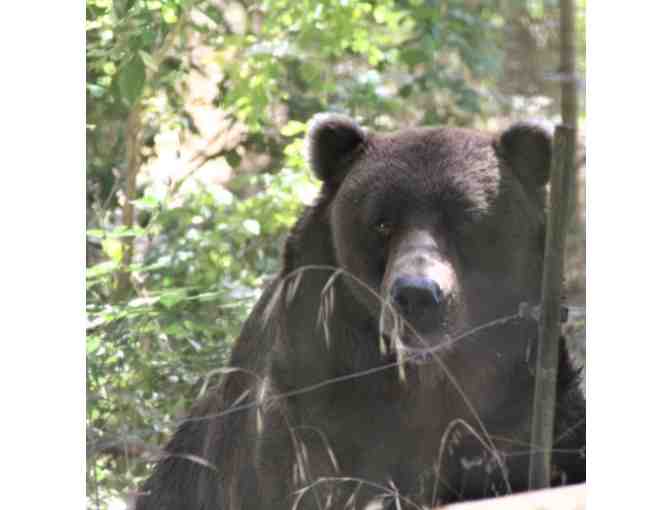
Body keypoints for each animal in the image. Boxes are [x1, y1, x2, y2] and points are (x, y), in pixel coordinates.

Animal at [138, 114, 588, 510]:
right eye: (382, 223)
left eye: (466, 221)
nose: (417, 295)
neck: (422, 377)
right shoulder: (315, 403)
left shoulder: (518, 402)